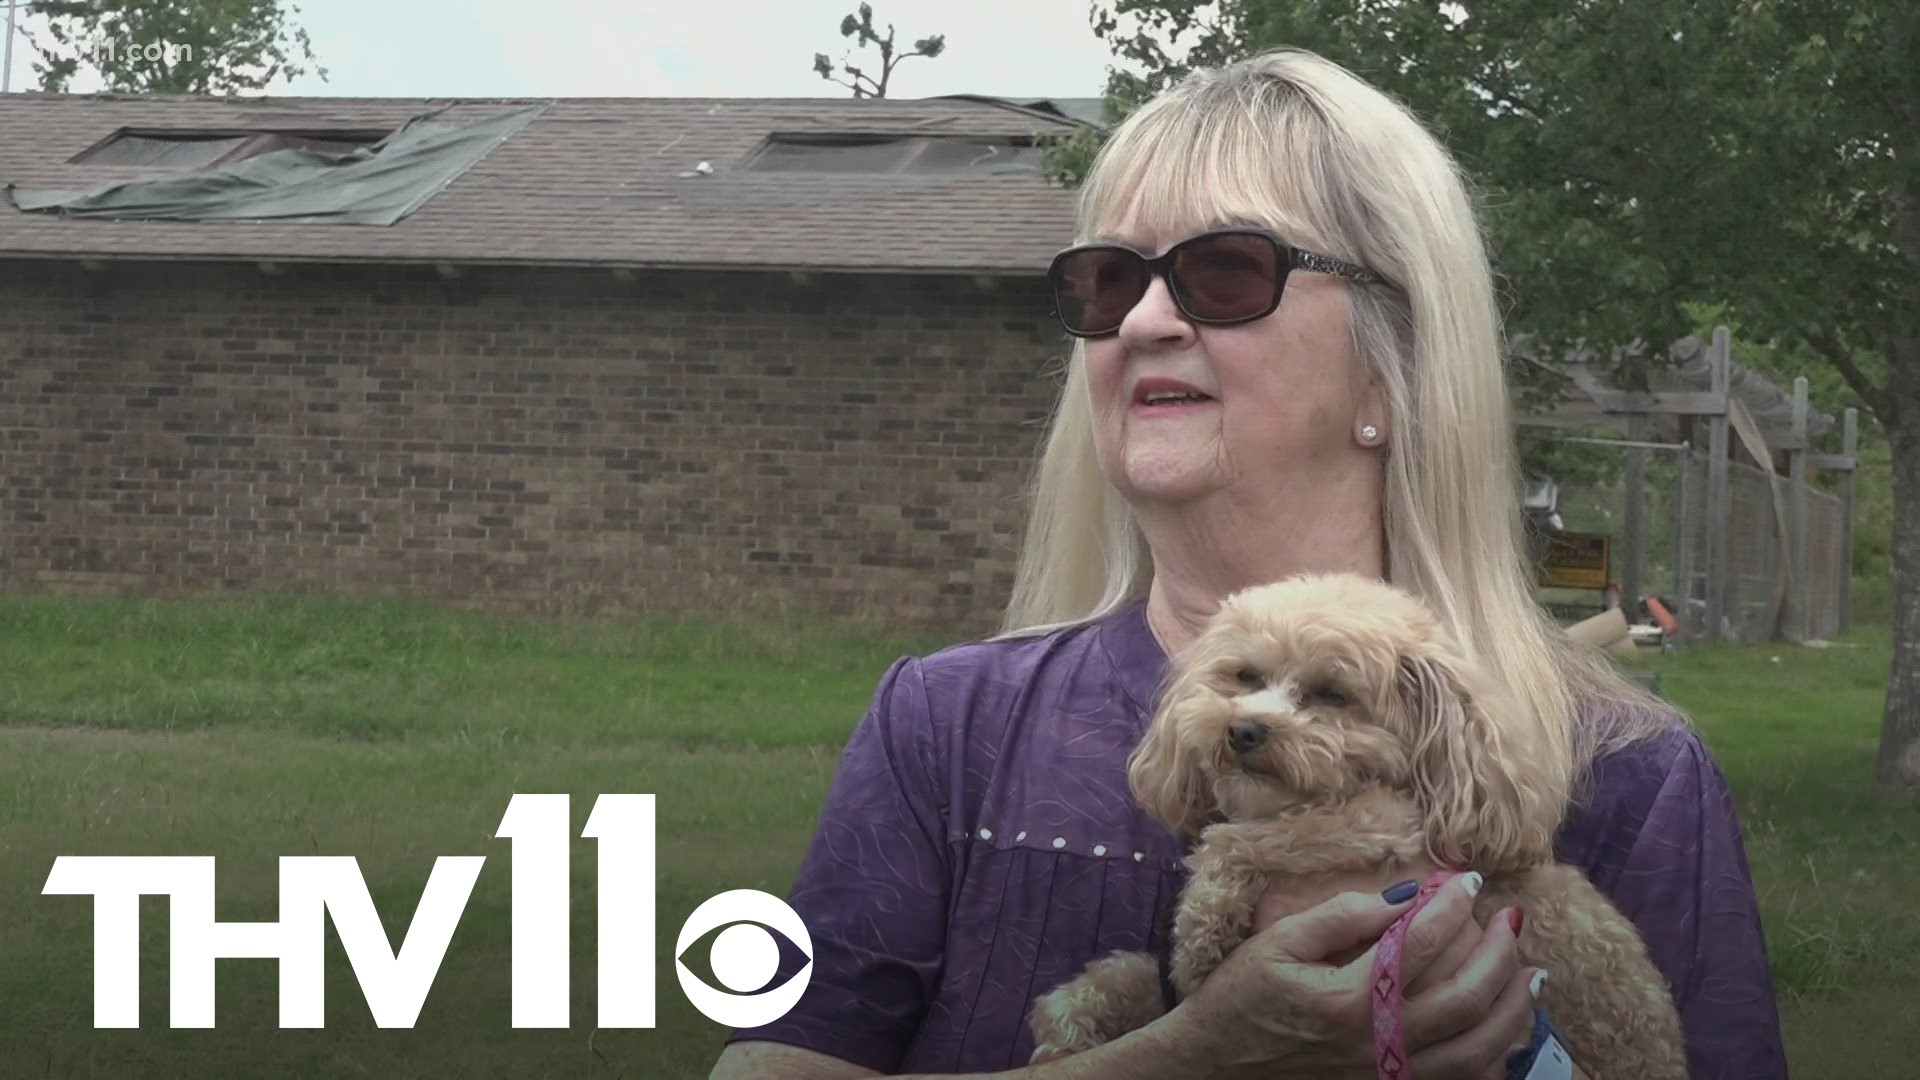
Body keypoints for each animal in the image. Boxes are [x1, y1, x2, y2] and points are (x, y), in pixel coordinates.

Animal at [1036, 576, 1681, 1068]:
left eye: (1331, 693)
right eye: (1246, 677)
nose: (1242, 730)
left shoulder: (1384, 822)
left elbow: (1257, 839)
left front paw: (1204, 925)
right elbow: (1135, 973)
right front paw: (1073, 1017)